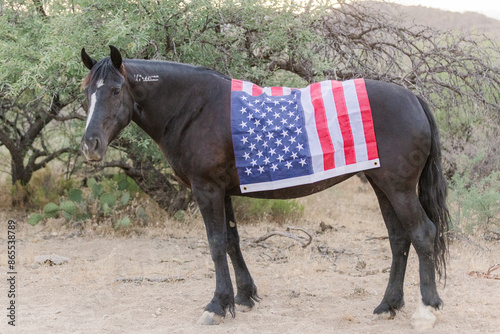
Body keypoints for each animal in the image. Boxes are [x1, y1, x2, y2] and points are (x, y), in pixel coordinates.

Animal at [81, 46, 450, 326]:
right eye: (87, 92)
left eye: (116, 90)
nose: (90, 145)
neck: (194, 107)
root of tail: (413, 98)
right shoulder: (223, 192)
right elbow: (232, 242)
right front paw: (243, 296)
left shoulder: (206, 190)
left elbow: (216, 244)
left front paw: (217, 305)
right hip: (381, 185)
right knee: (399, 239)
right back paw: (388, 304)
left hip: (399, 188)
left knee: (423, 234)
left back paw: (428, 308)